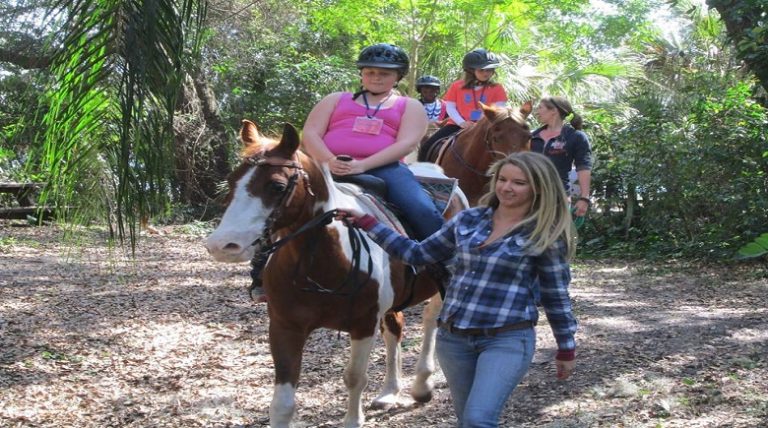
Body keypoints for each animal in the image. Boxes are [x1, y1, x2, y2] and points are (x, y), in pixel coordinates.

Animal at [206, 118, 468, 426]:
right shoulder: (285, 326)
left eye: (277, 186)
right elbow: (282, 403)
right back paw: (389, 392)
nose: (222, 245)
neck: (318, 264)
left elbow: (354, 377)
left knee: (429, 321)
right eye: (232, 181)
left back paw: (422, 385)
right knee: (395, 328)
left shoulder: (363, 325)